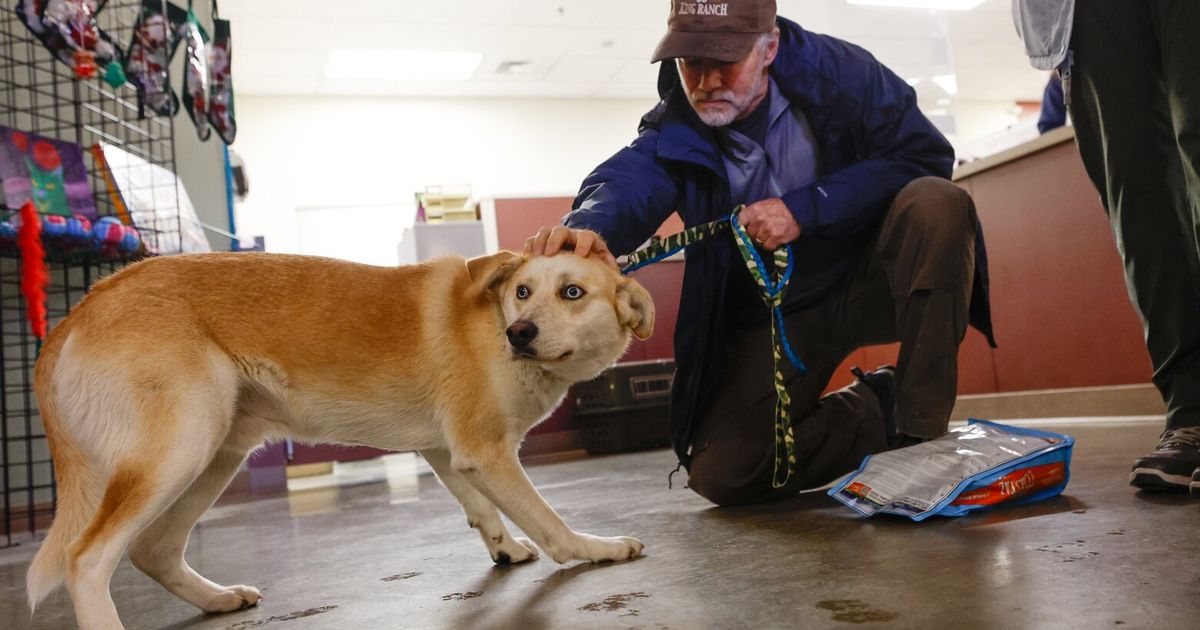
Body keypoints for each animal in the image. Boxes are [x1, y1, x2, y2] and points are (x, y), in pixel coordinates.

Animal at [25, 250, 654, 629]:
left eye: (572, 293)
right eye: (523, 291)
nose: (519, 333)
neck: (490, 318)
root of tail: (79, 311)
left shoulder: (449, 451)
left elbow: (483, 509)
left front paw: (505, 549)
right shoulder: (485, 451)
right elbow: (549, 523)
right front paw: (596, 548)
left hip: (214, 453)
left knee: (151, 550)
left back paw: (219, 599)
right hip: (181, 448)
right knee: (88, 560)